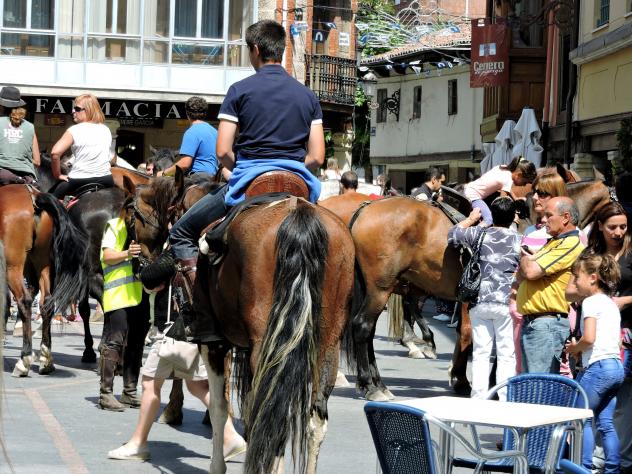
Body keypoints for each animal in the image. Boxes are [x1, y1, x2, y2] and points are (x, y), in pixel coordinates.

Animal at [0, 185, 88, 376]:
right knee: (46, 302)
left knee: (24, 300)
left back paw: (24, 359)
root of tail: (34, 196)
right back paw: (46, 359)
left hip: (14, 264)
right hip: (42, 263)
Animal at [124, 171, 355, 474]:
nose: (142, 267)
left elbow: (219, 407)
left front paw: (217, 464)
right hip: (325, 344)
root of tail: (298, 213)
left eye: (132, 218)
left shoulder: (214, 344)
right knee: (311, 419)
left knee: (271, 414)